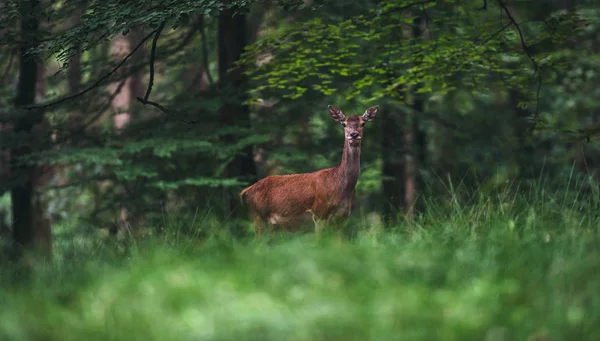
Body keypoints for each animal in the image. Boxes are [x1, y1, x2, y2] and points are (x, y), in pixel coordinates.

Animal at [240, 105, 378, 235]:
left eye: (363, 123)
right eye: (343, 124)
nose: (354, 134)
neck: (342, 187)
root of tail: (244, 193)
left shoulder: (343, 217)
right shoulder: (318, 213)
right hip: (258, 218)